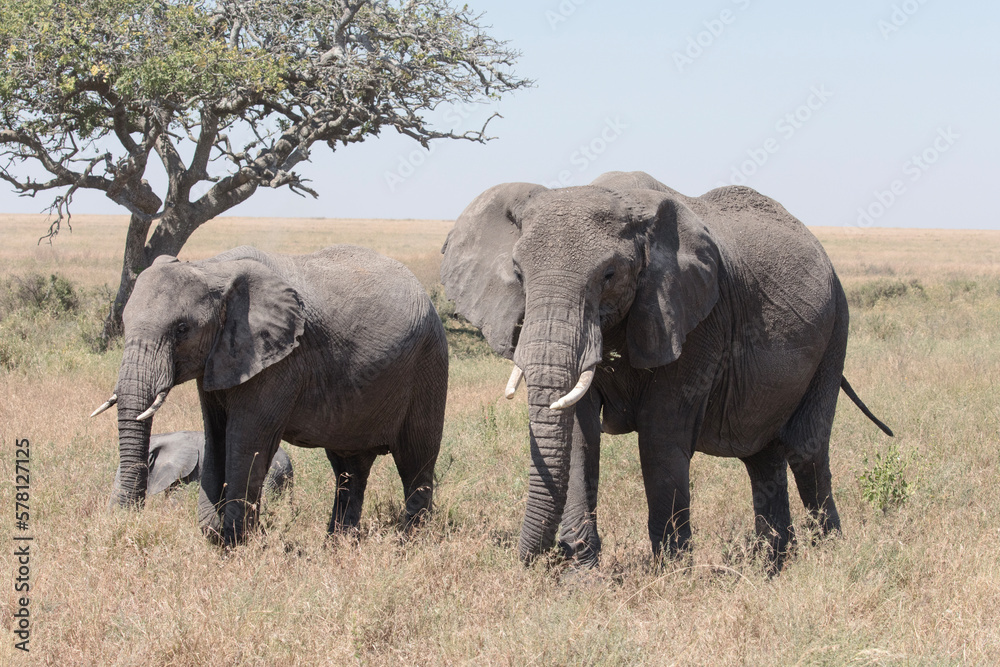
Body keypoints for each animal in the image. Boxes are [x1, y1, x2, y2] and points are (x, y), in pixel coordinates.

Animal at [442, 172, 896, 568]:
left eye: (609, 275)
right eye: (518, 275)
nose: (532, 562)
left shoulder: (695, 317)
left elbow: (661, 435)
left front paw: (671, 577)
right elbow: (578, 434)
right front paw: (582, 579)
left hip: (836, 327)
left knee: (805, 450)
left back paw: (828, 558)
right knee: (762, 456)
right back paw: (774, 565)